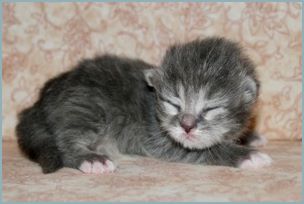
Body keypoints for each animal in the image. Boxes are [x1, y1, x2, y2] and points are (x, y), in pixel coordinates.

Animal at [16, 37, 270, 174]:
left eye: (211, 108)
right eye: (174, 103)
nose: (187, 126)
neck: (154, 103)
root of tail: (39, 103)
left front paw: (251, 137)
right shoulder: (160, 141)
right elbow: (208, 150)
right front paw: (247, 155)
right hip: (85, 106)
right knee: (67, 143)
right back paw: (90, 159)